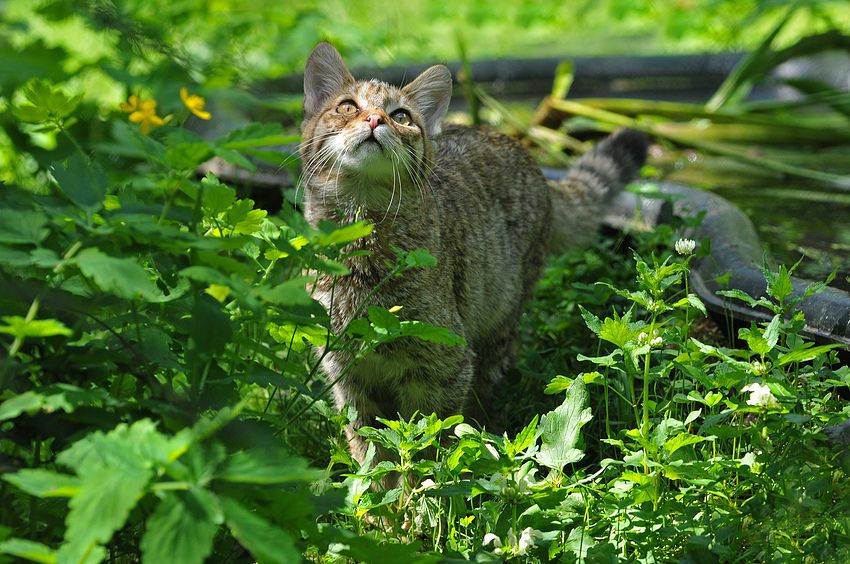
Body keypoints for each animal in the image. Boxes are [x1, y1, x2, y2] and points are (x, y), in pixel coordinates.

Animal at [296, 43, 644, 476]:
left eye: (401, 116)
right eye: (347, 106)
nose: (375, 119)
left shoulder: (445, 365)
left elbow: (428, 447)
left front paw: (426, 491)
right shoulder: (349, 376)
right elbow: (372, 454)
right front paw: (380, 493)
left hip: (497, 325)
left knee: (484, 399)